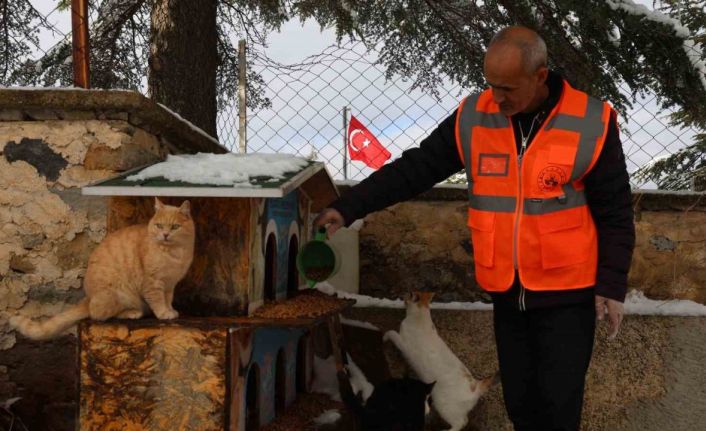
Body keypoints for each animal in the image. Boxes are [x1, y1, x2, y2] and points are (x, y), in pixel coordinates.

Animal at [11, 198, 197, 340]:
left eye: (174, 227)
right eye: (159, 225)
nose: (165, 235)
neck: (173, 253)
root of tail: (88, 298)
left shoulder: (170, 284)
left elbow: (168, 299)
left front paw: (170, 310)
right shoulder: (153, 283)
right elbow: (158, 301)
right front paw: (164, 313)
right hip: (118, 294)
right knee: (99, 315)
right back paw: (132, 312)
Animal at [384, 292, 496, 430]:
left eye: (408, 294)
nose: (402, 296)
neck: (420, 316)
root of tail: (476, 386)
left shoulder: (403, 343)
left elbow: (391, 333)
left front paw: (384, 337)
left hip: (444, 405)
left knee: (461, 422)